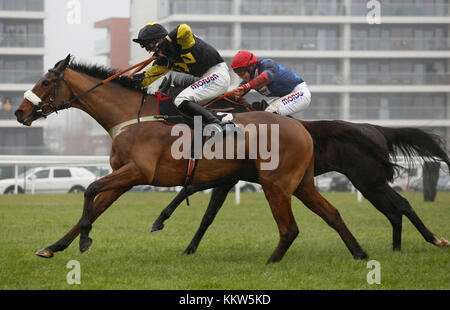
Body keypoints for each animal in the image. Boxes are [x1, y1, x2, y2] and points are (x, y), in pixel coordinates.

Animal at [14, 55, 374, 262]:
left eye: (46, 82)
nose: (19, 112)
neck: (132, 116)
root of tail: (299, 126)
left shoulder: (137, 172)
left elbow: (89, 190)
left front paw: (85, 240)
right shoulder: (125, 176)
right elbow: (94, 205)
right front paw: (54, 246)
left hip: (276, 183)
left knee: (290, 228)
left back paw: (271, 263)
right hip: (300, 183)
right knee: (332, 214)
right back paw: (359, 253)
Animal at [150, 84, 450, 254]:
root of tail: (375, 129)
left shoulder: (227, 177)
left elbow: (198, 200)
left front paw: (165, 224)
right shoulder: (226, 176)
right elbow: (201, 205)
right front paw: (180, 239)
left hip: (369, 181)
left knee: (401, 206)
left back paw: (433, 240)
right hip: (370, 183)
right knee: (395, 210)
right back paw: (397, 248)